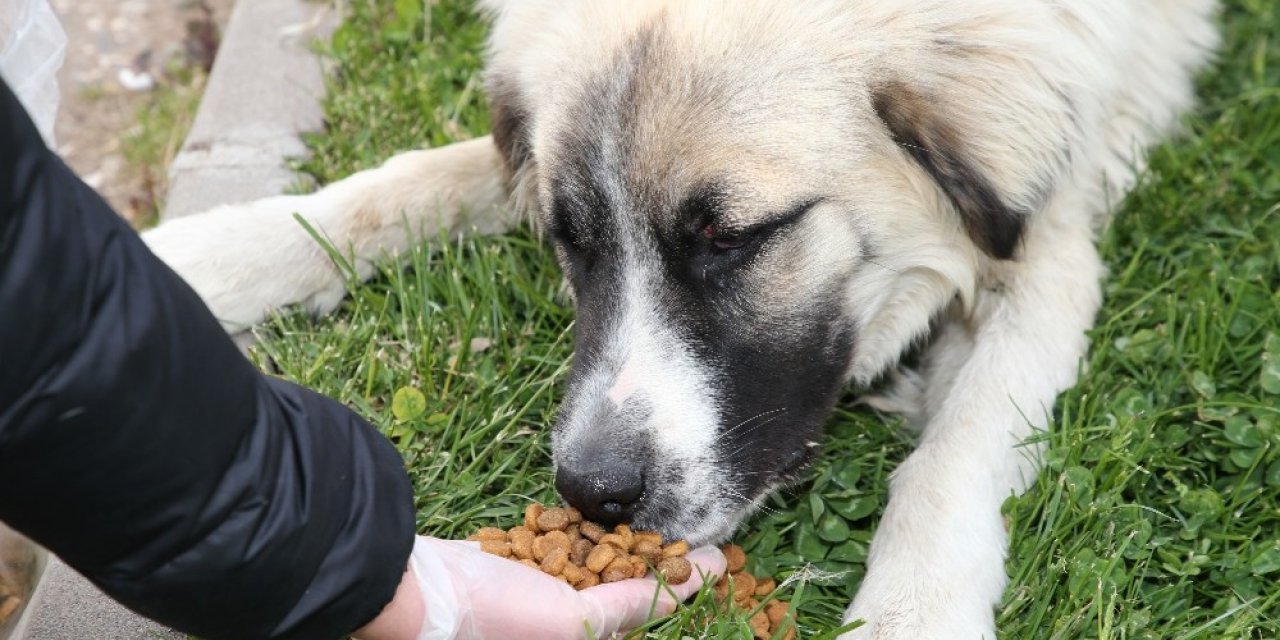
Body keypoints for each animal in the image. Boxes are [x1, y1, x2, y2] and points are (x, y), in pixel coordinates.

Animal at [140, 2, 1218, 637]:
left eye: (728, 238)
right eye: (568, 239)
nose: (592, 492)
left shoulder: (1049, 245)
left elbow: (954, 454)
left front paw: (911, 608)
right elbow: (406, 182)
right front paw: (215, 249)